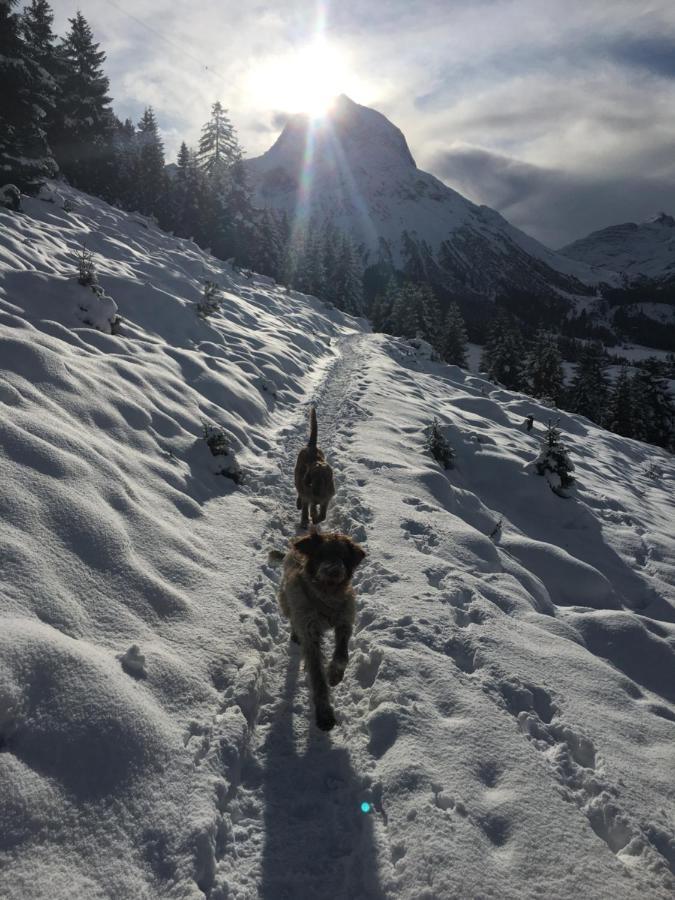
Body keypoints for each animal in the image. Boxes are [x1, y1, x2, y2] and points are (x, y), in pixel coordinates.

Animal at [278, 532, 368, 728]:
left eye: (344, 556)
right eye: (321, 554)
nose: (334, 571)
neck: (327, 595)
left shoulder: (344, 621)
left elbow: (342, 655)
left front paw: (334, 674)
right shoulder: (310, 633)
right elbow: (318, 675)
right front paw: (324, 713)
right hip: (286, 601)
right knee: (293, 619)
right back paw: (295, 634)